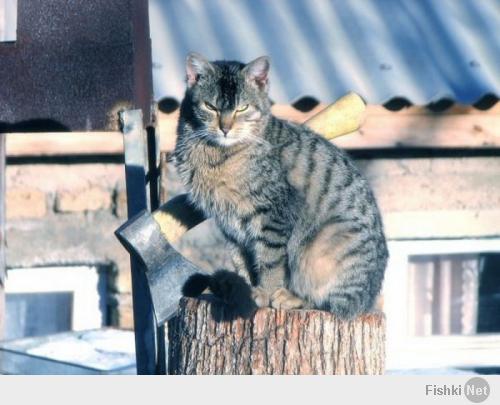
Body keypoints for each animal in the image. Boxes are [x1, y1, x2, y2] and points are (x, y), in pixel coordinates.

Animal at [174, 52, 388, 318]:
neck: (216, 155)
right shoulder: (230, 227)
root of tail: (370, 298)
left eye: (242, 108)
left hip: (326, 246)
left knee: (333, 303)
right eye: (210, 107)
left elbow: (269, 260)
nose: (225, 128)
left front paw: (264, 292)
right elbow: (242, 262)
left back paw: (291, 297)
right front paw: (244, 290)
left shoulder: (271, 215)